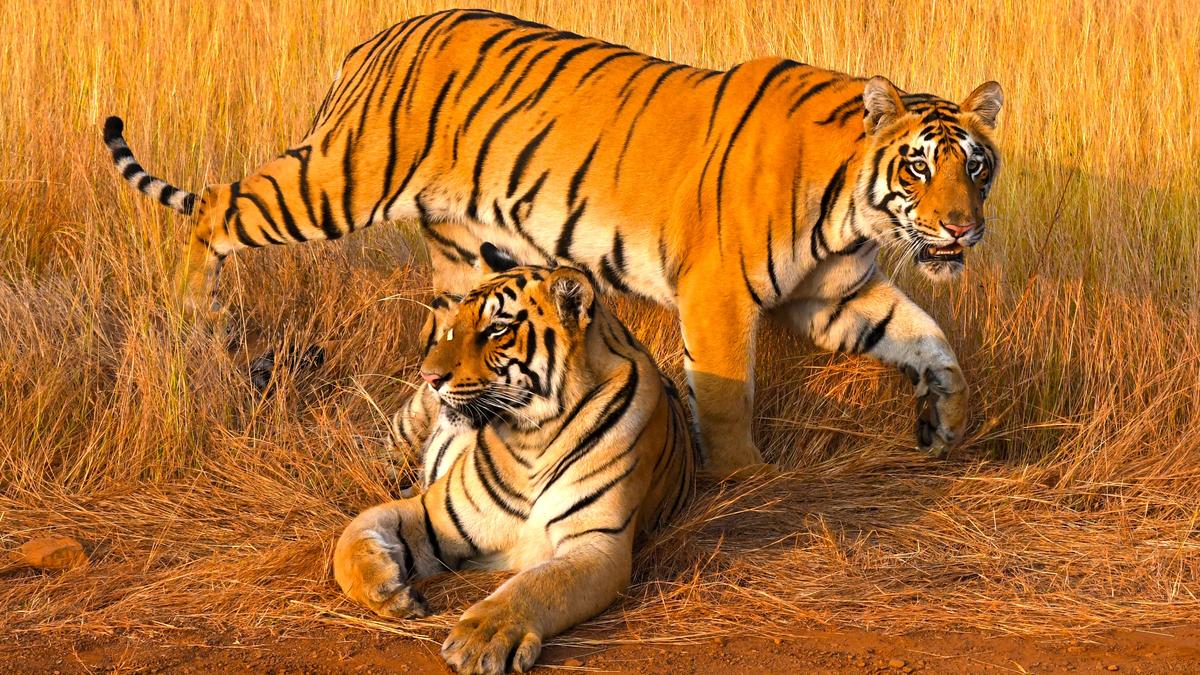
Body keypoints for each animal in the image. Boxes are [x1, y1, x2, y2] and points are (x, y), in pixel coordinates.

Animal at [102, 8, 1003, 476]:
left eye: (976, 167)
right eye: (920, 166)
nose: (962, 227)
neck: (853, 209)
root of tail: (383, 33)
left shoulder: (835, 295)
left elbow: (935, 343)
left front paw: (943, 425)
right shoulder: (720, 293)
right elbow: (726, 395)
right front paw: (747, 482)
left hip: (469, 257)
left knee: (436, 368)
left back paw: (396, 442)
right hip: (338, 181)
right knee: (215, 209)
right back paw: (194, 319)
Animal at [333, 243, 696, 675]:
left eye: (496, 329)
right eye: (455, 325)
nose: (428, 377)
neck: (533, 438)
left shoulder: (598, 542)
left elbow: (538, 584)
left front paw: (481, 639)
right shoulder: (433, 512)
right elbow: (350, 539)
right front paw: (391, 592)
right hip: (405, 430)